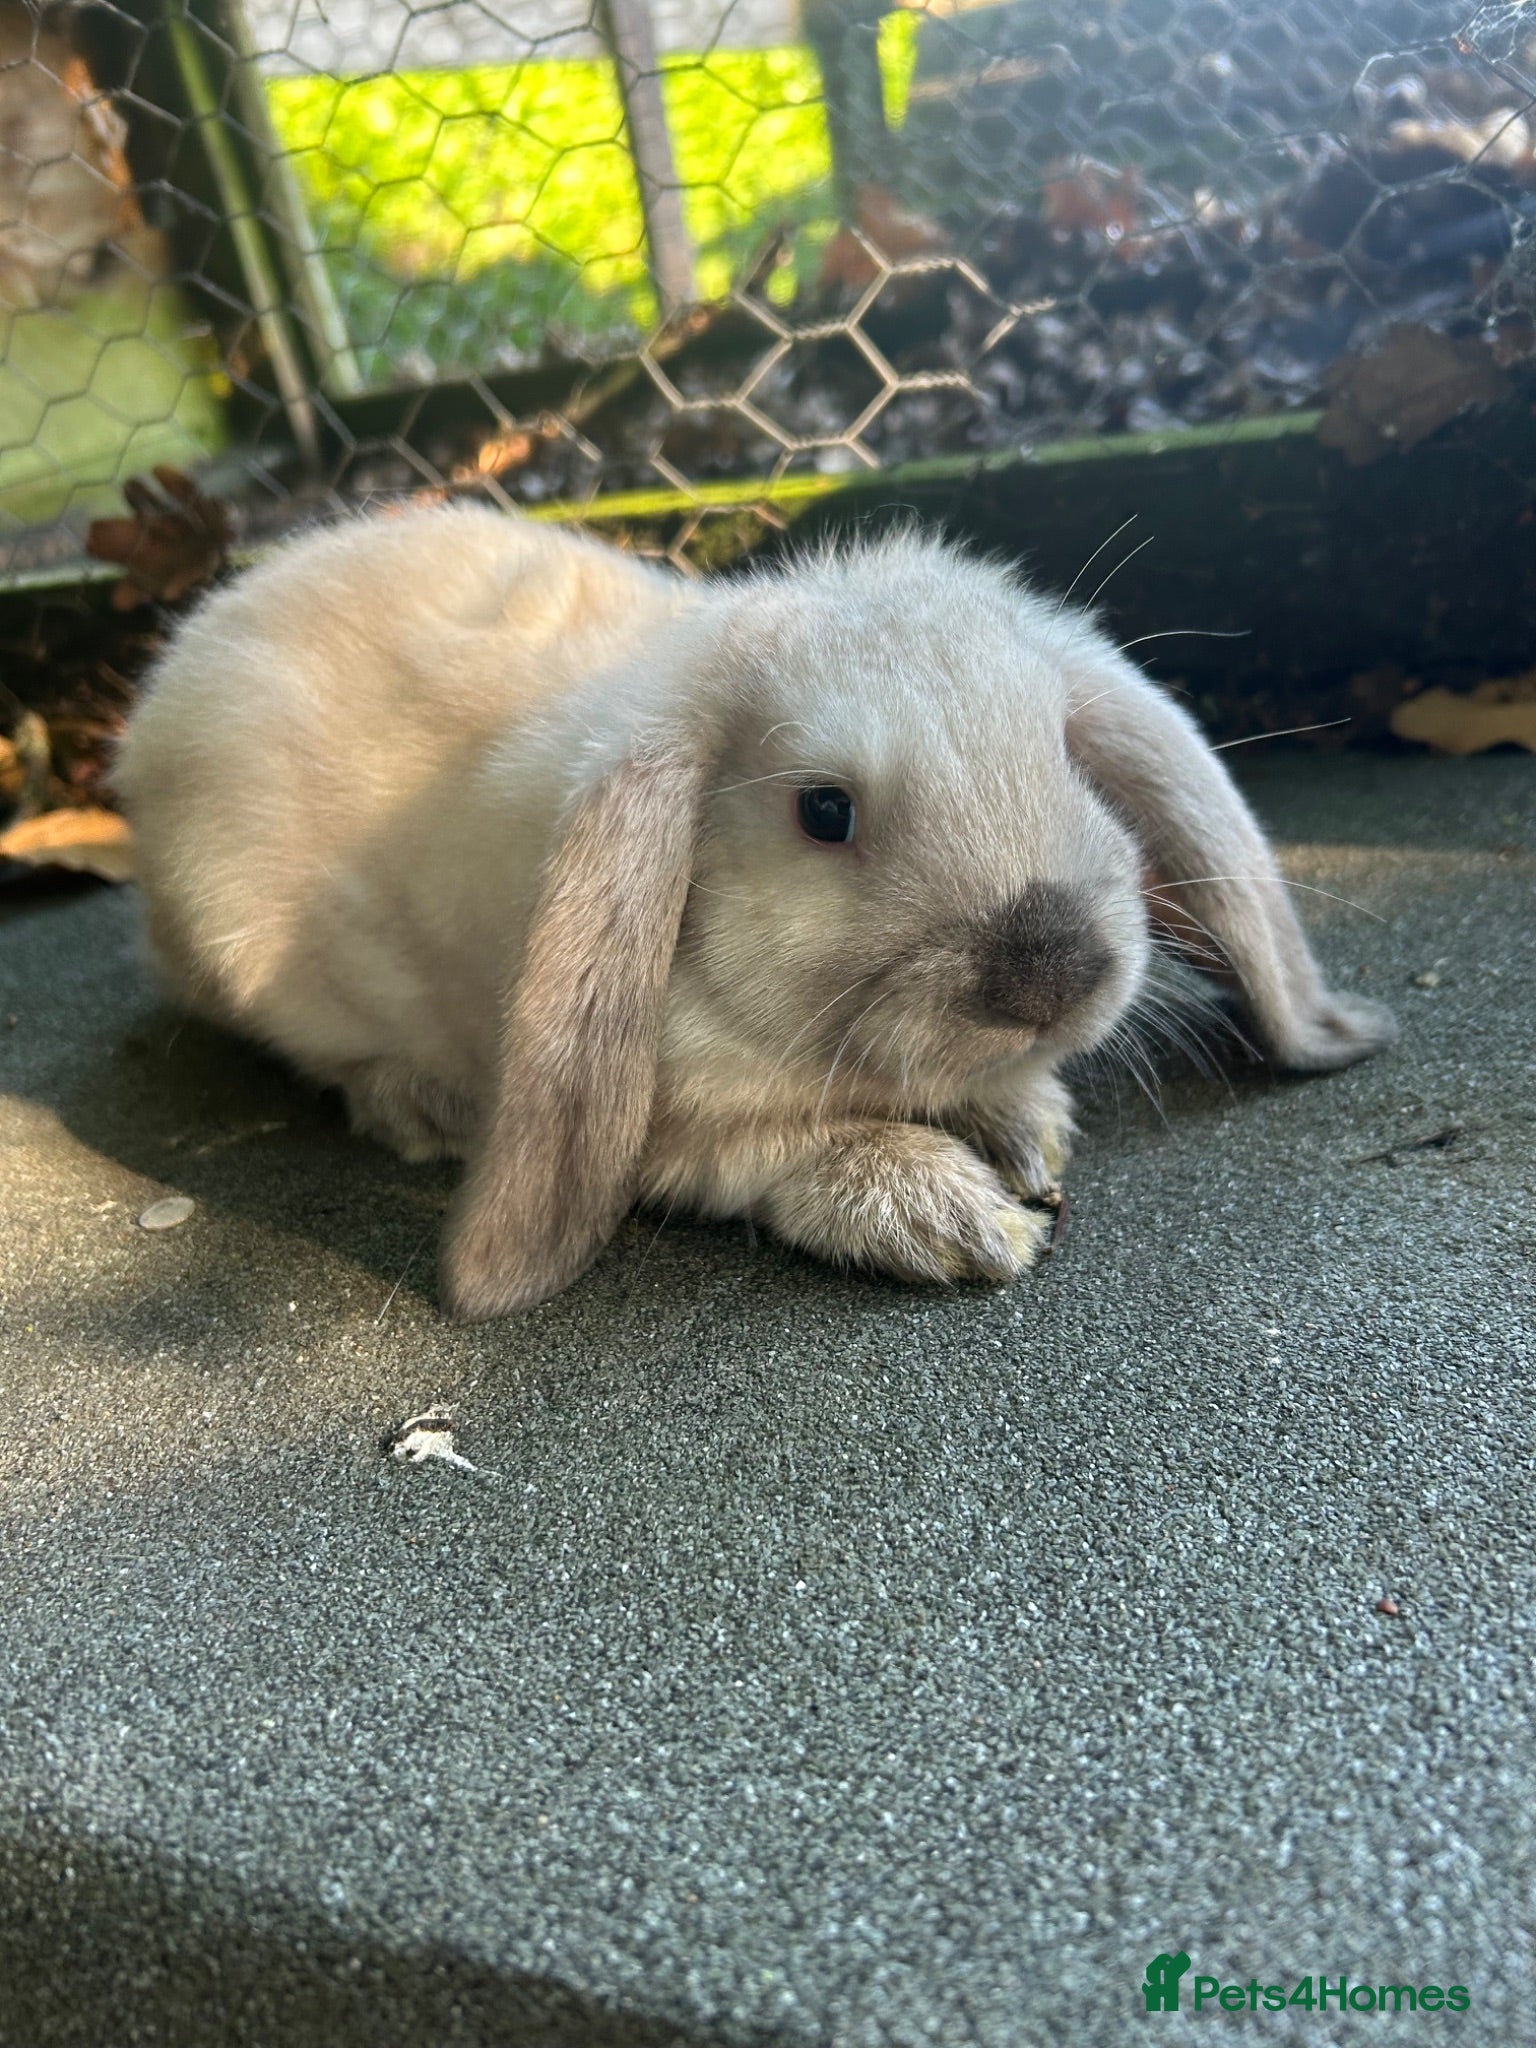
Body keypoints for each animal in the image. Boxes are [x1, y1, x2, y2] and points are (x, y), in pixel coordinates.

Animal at [115, 503, 1397, 1318]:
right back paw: (420, 1105)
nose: (1052, 969)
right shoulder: (675, 1137)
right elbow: (788, 1154)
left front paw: (1029, 1127)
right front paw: (955, 1212)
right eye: (824, 810)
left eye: (1064, 753)